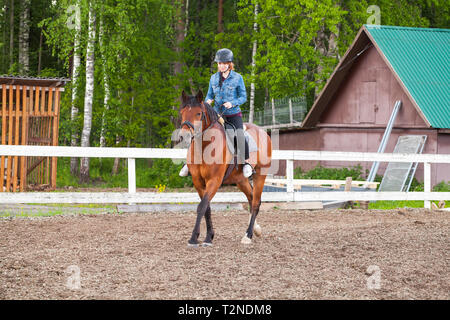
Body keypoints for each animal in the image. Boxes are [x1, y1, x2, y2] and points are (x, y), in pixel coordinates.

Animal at [178, 90, 270, 248]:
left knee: (256, 203)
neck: (205, 146)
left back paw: (248, 235)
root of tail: (263, 132)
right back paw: (255, 230)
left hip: (260, 175)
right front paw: (209, 236)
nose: (184, 136)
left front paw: (196, 238)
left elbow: (202, 206)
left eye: (198, 113)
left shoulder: (214, 180)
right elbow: (207, 208)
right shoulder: (198, 182)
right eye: (182, 112)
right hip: (241, 180)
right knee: (251, 198)